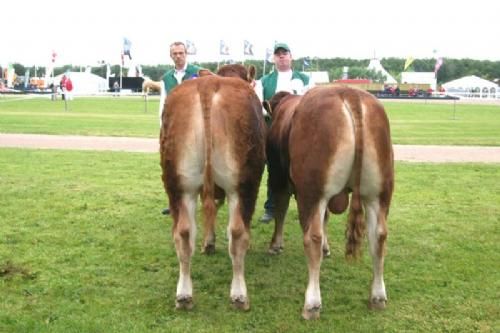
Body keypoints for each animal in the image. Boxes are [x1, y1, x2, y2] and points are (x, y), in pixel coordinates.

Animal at [161, 72, 268, 308]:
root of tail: (208, 82)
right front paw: (209, 243)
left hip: (179, 184)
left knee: (183, 232)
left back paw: (184, 295)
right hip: (244, 184)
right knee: (238, 232)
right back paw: (239, 294)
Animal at [266, 86, 394, 320]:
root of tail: (349, 93)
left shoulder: (279, 178)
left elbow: (280, 210)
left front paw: (275, 245)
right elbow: (325, 219)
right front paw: (327, 248)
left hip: (312, 191)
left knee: (312, 237)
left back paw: (312, 303)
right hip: (379, 193)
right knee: (378, 236)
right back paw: (378, 296)